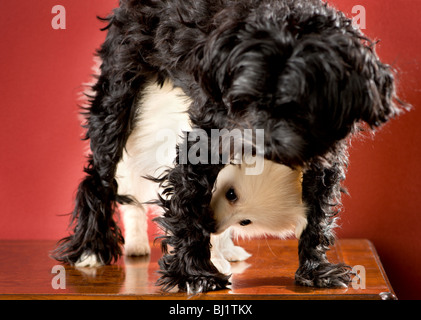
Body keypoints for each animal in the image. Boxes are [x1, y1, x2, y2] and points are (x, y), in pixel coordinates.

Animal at [53, 0, 404, 292]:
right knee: (102, 178)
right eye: (242, 97)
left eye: (299, 105)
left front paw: (315, 270)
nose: (252, 144)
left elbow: (317, 216)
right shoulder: (204, 144)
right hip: (117, 101)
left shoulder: (323, 161)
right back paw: (92, 246)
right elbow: (188, 208)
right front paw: (194, 275)